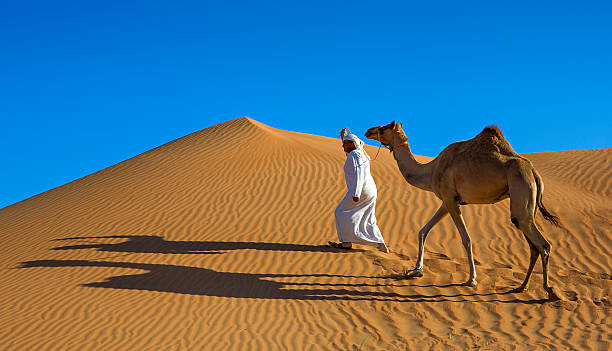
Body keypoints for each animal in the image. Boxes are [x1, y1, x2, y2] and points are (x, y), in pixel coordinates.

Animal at [364, 121, 564, 300]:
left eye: (384, 128)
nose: (368, 130)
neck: (431, 170)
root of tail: (534, 172)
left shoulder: (450, 199)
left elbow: (466, 239)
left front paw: (471, 279)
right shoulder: (448, 201)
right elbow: (423, 231)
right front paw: (416, 270)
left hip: (521, 192)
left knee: (543, 245)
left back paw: (551, 291)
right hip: (526, 207)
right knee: (533, 246)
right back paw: (522, 286)